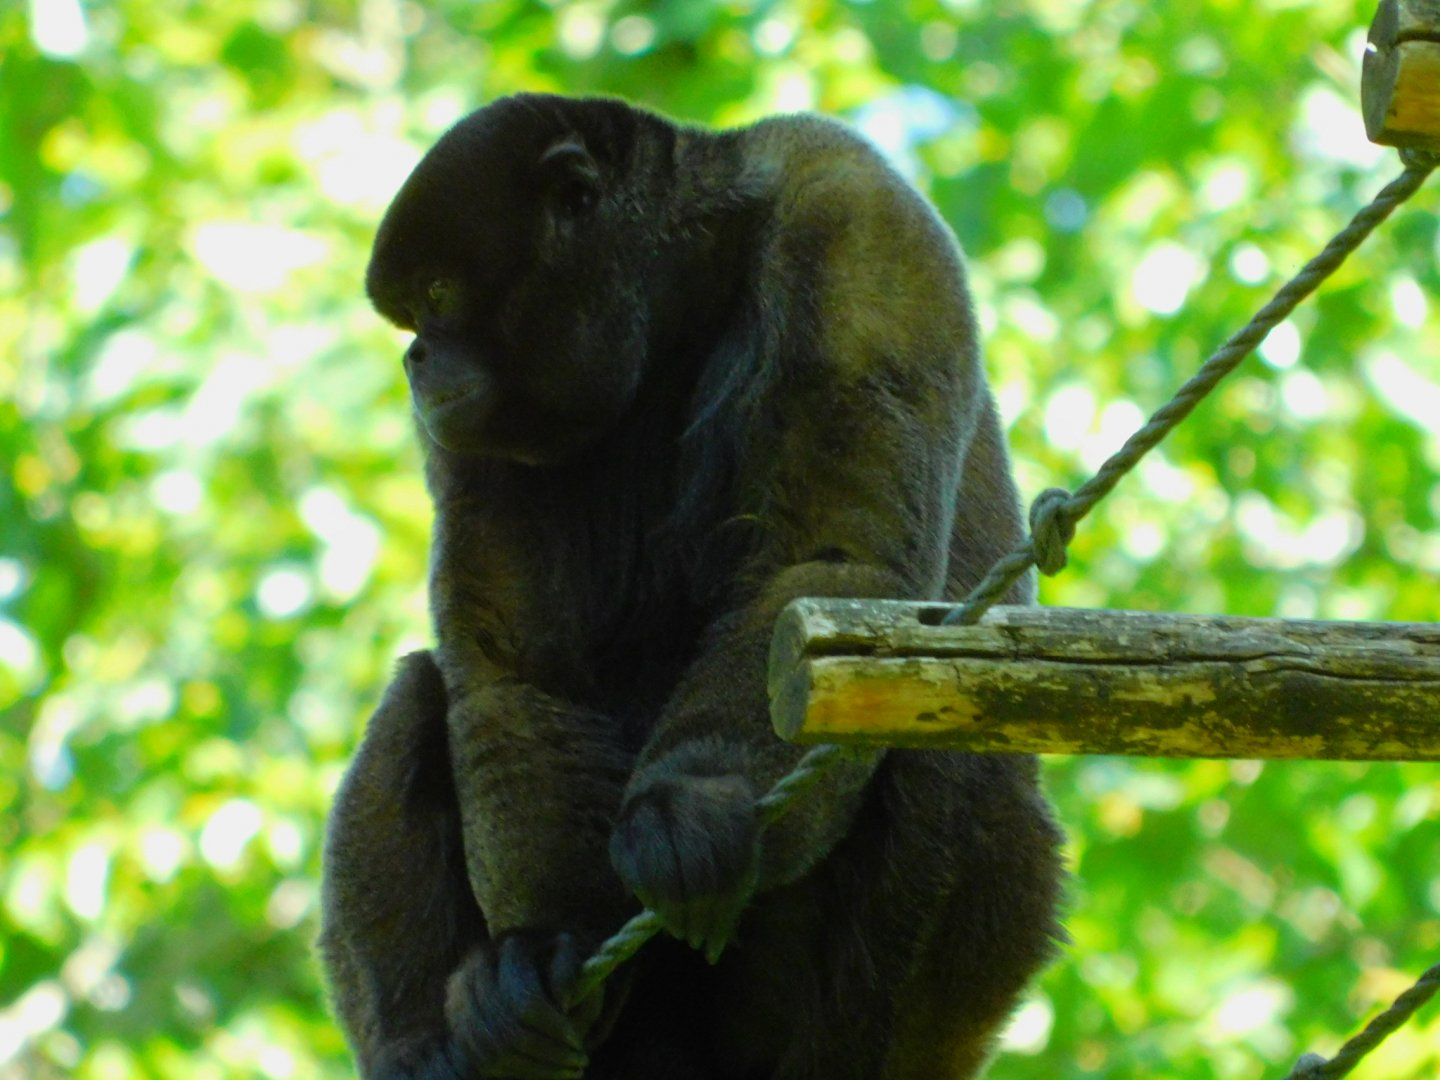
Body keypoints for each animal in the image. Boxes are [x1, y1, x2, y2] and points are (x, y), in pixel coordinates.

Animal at [318, 93, 1065, 1080]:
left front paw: (691, 811)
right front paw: (540, 949)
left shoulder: (853, 209)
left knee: (942, 739)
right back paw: (426, 1047)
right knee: (417, 693)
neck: (678, 302)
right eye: (408, 319)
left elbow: (824, 564)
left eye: (438, 298)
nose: (415, 363)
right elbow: (514, 671)